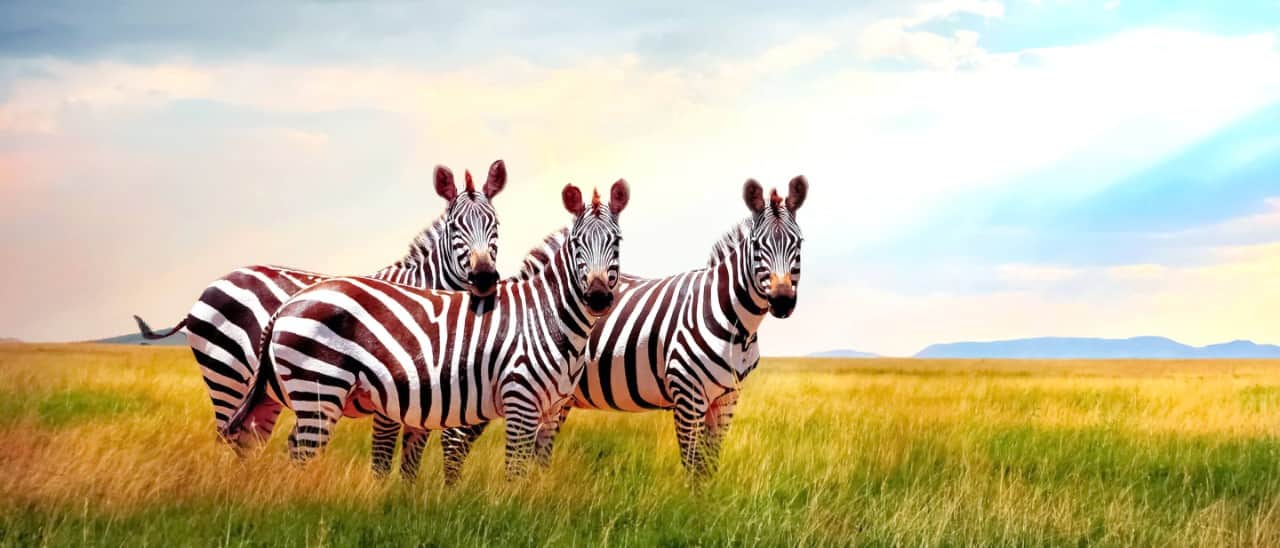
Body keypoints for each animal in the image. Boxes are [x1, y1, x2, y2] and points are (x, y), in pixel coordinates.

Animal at [133, 160, 507, 479]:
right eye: (454, 227)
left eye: (495, 225)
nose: (484, 277)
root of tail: (213, 285)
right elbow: (386, 456)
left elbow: (412, 459)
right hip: (228, 375)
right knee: (228, 437)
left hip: (263, 392)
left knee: (246, 443)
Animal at [220, 180, 631, 480]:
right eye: (576, 244)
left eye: (617, 242)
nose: (598, 298)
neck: (548, 316)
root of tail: (290, 303)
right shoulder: (520, 399)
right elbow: (514, 471)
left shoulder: (550, 409)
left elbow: (534, 471)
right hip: (317, 386)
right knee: (300, 451)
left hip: (294, 393)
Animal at [419, 176, 805, 481]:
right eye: (757, 246)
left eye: (798, 244)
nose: (783, 302)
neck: (734, 321)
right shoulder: (687, 392)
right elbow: (693, 463)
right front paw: (694, 510)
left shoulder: (727, 397)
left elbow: (709, 465)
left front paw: (708, 507)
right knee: (455, 440)